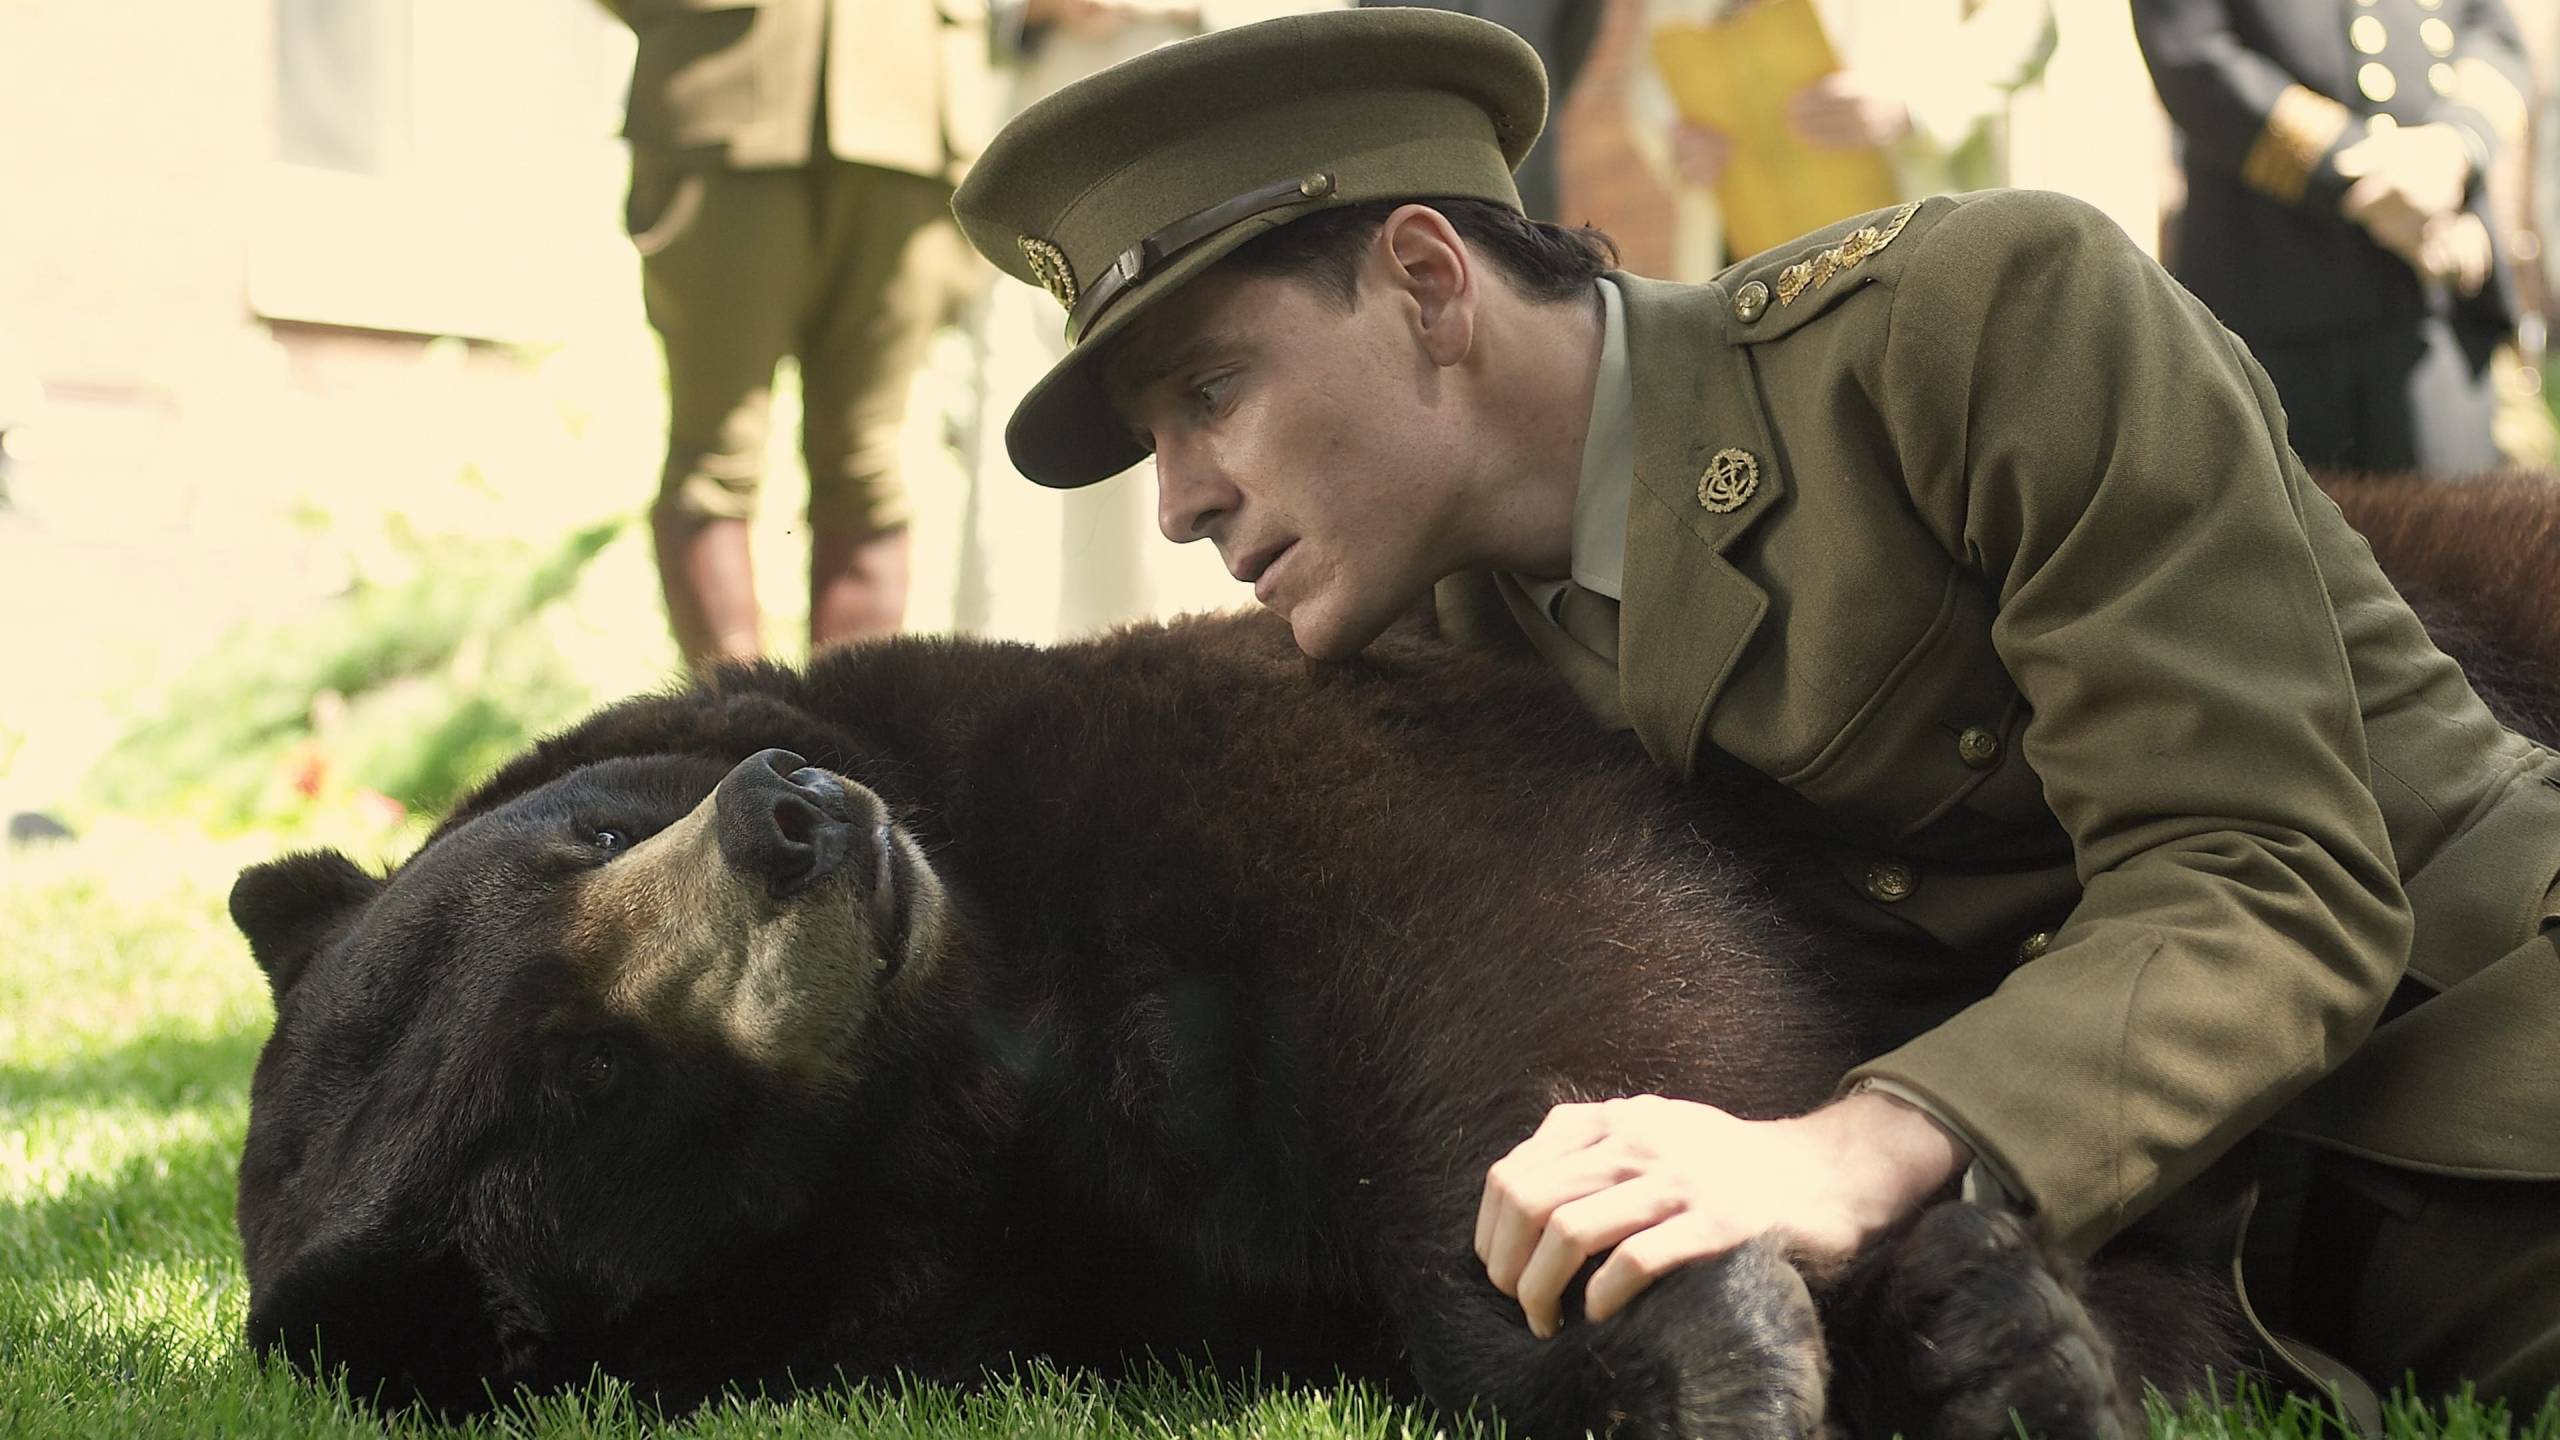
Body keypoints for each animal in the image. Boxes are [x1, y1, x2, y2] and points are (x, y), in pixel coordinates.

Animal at [230, 607, 2252, 1434]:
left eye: (588, 828)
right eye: (583, 1076)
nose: (792, 820)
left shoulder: (1202, 736)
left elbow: (1535, 940)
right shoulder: (1076, 1249)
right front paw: (1727, 1335)